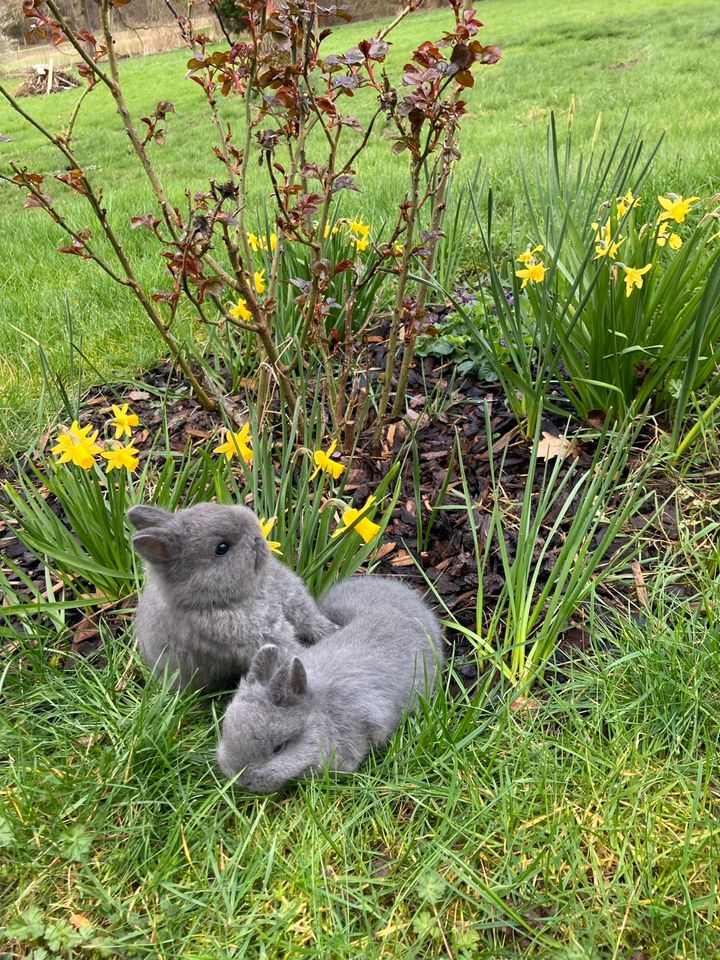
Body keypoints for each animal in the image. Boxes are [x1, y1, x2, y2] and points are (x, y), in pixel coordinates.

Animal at [127, 502, 338, 688]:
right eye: (222, 548)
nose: (256, 529)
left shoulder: (296, 605)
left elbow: (315, 624)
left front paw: (334, 631)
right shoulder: (266, 638)